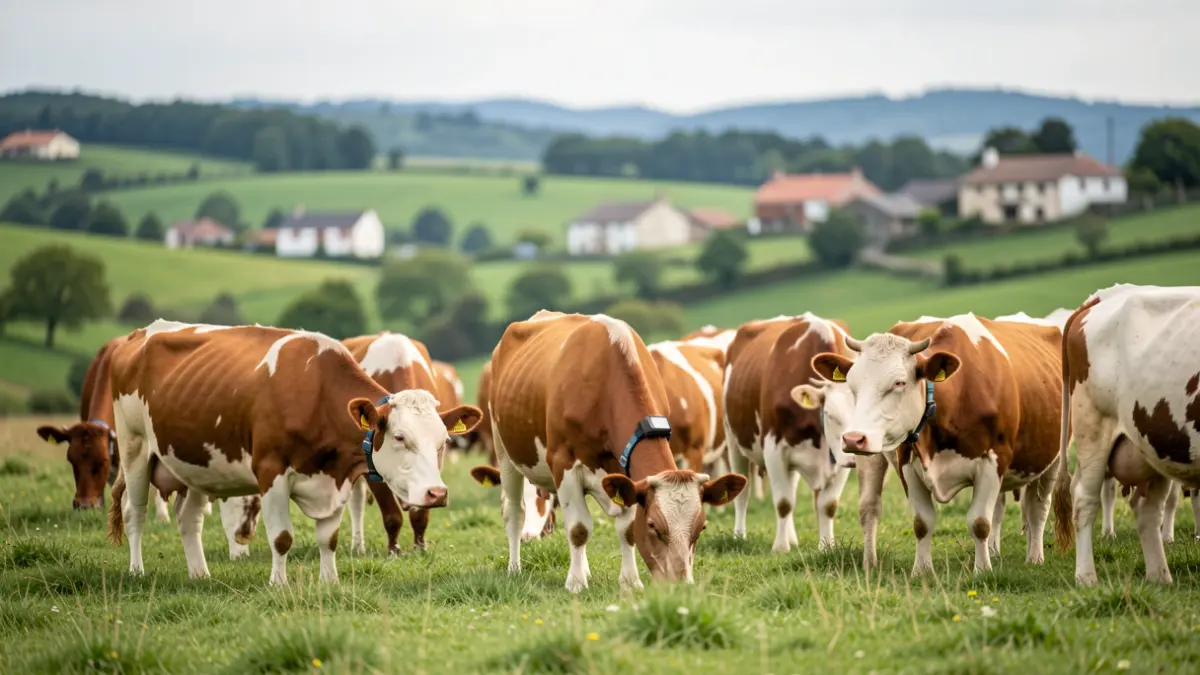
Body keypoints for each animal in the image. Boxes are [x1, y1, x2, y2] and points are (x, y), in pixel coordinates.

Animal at [341, 332, 453, 555]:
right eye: (399, 437)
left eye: (443, 441)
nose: (439, 495)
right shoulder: (371, 467)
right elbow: (392, 515)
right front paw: (394, 551)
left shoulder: (428, 476)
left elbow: (419, 514)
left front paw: (420, 548)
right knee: (356, 503)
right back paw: (358, 547)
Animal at [723, 313, 859, 554]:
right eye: (830, 414)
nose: (854, 451)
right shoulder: (774, 449)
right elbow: (784, 503)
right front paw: (780, 547)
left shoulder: (839, 459)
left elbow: (828, 505)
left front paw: (827, 547)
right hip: (733, 441)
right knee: (742, 494)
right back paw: (739, 536)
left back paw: (792, 537)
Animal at [811, 313, 1065, 574]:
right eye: (852, 386)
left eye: (899, 383)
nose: (853, 438)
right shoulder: (907, 464)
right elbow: (923, 522)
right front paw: (921, 570)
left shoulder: (993, 460)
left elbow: (980, 522)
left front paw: (982, 571)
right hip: (873, 458)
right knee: (870, 509)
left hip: (1053, 459)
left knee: (1037, 508)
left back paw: (1034, 557)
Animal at [1056, 283, 1200, 585]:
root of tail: (1102, 296)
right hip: (1094, 429)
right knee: (1085, 499)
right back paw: (1087, 577)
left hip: (1153, 445)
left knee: (1147, 508)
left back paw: (1160, 577)